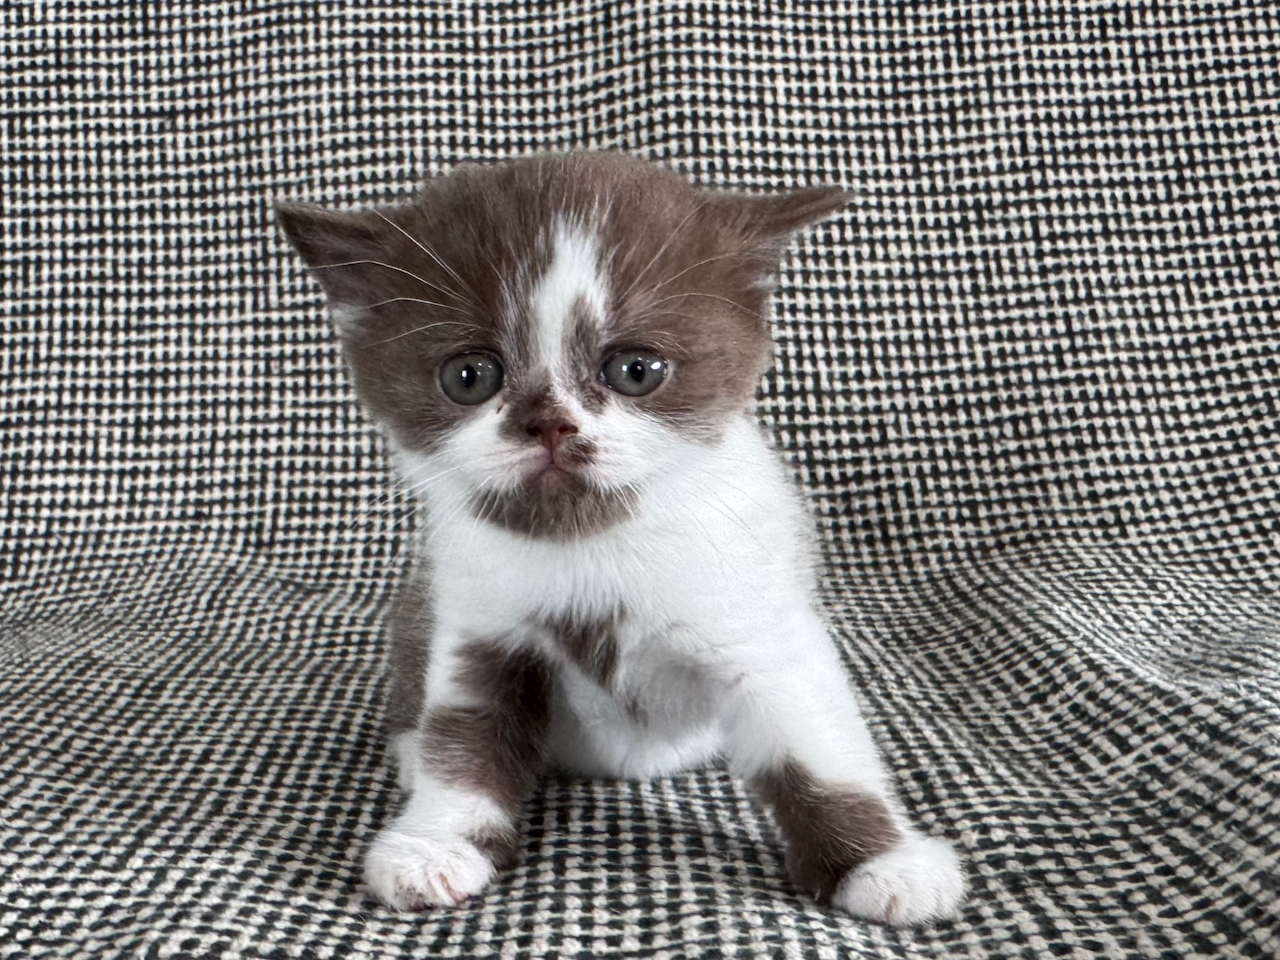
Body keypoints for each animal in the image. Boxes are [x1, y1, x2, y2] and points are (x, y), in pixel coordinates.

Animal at [277, 152, 965, 926]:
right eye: (469, 376)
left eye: (637, 370)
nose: (549, 423)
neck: (592, 546)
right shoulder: (478, 628)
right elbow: (464, 739)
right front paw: (436, 842)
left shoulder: (760, 622)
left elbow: (814, 739)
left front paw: (882, 862)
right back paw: (408, 745)